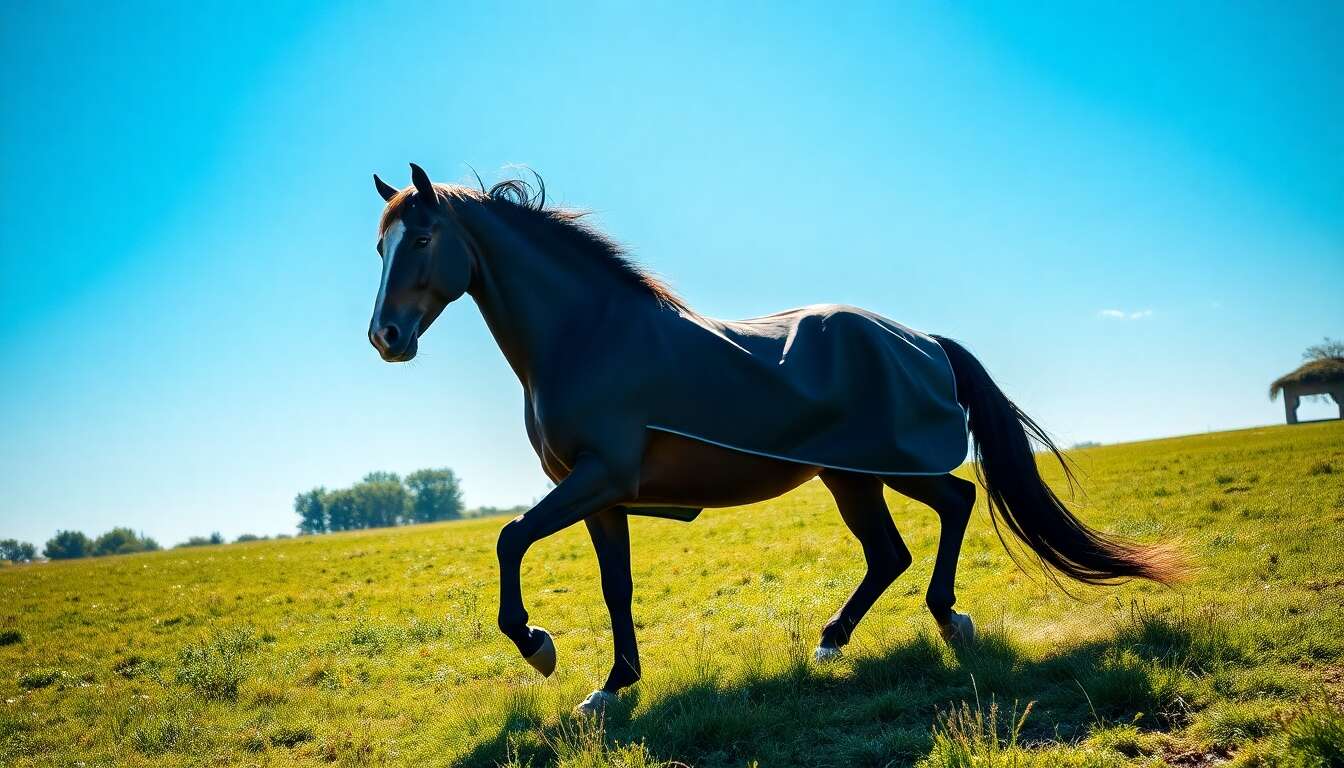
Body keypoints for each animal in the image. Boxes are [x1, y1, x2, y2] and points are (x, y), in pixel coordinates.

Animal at [366, 164, 1181, 715]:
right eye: (381, 247)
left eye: (425, 237)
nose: (386, 337)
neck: (588, 335)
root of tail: (922, 341)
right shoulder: (601, 497)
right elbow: (613, 585)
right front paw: (611, 688)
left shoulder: (598, 478)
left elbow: (509, 538)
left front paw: (539, 647)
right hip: (851, 475)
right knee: (893, 549)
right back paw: (834, 639)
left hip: (893, 466)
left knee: (955, 501)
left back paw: (950, 620)